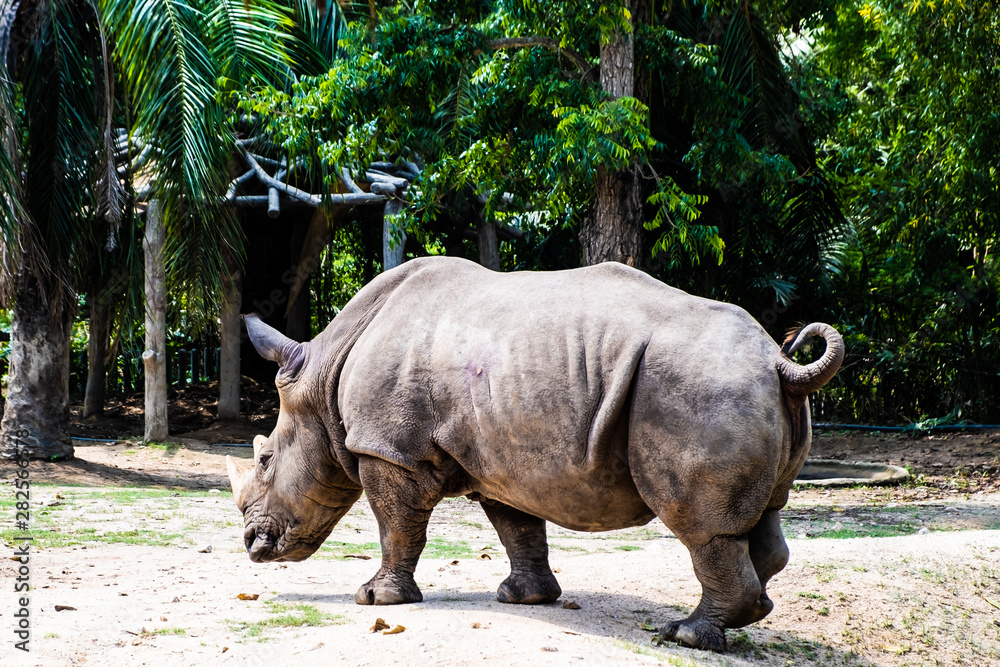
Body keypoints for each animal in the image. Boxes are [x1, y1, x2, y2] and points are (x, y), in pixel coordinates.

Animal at [226, 256, 843, 652]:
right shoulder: (499, 458)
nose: (253, 546)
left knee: (703, 528)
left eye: (265, 462)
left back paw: (686, 635)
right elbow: (517, 526)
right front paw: (523, 598)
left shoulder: (390, 449)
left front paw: (376, 600)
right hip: (738, 388)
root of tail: (779, 362)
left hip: (700, 387)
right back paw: (743, 617)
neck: (323, 376)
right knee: (763, 514)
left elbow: (397, 525)